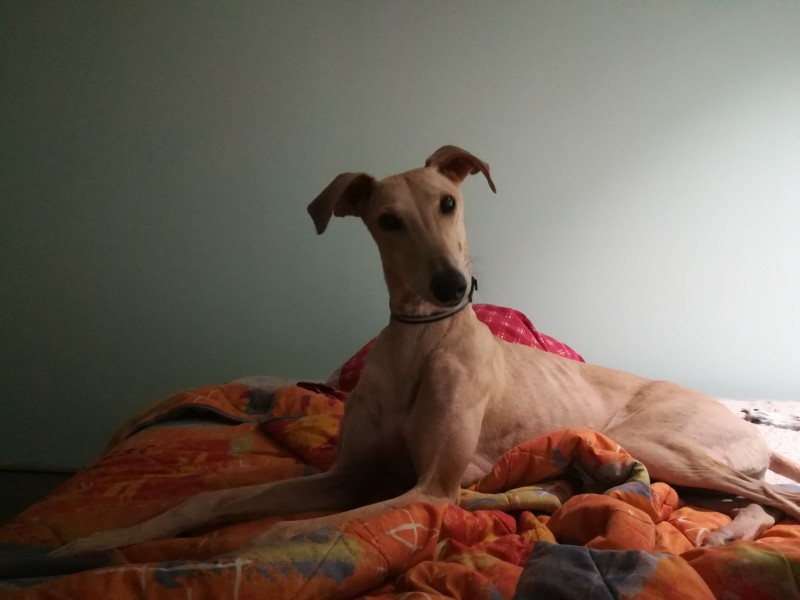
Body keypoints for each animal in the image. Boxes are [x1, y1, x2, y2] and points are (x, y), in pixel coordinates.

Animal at [55, 145, 800, 556]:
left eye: (448, 202)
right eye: (387, 221)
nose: (452, 286)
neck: (421, 339)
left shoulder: (431, 487)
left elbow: (283, 531)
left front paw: (223, 553)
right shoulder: (348, 474)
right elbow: (204, 502)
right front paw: (94, 541)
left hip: (651, 442)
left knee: (778, 497)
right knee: (758, 501)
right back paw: (726, 531)